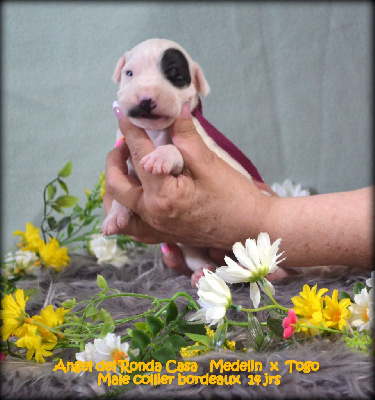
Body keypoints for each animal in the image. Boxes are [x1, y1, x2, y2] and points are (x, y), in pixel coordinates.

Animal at [101, 39, 266, 284]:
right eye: (129, 73)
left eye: (176, 77)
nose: (146, 98)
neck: (154, 132)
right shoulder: (129, 161)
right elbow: (122, 194)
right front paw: (114, 216)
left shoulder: (192, 152)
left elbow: (175, 150)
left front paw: (159, 157)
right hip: (191, 245)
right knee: (196, 256)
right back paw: (202, 271)